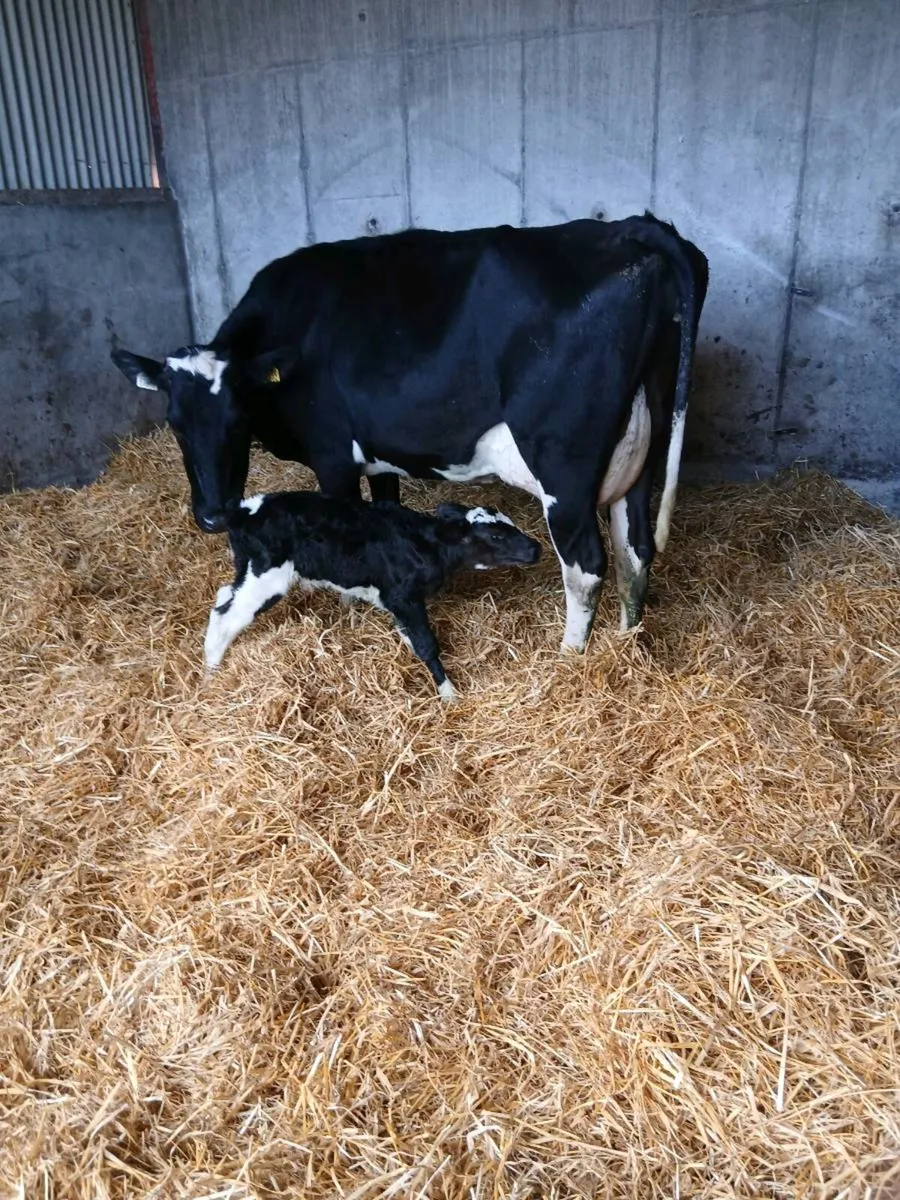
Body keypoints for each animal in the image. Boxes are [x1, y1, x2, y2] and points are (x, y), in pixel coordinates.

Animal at [112, 212, 708, 652]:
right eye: (174, 422)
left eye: (238, 417)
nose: (213, 515)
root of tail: (630, 226)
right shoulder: (380, 459)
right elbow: (383, 514)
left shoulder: (332, 455)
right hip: (642, 451)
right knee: (635, 552)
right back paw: (627, 643)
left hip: (563, 466)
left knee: (585, 567)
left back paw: (570, 657)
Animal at [203, 495, 541, 699]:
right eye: (495, 536)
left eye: (511, 523)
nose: (536, 547)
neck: (428, 546)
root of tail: (243, 511)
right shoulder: (404, 597)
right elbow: (427, 645)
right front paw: (449, 694)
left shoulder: (397, 603)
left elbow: (409, 635)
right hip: (266, 579)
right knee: (226, 615)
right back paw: (212, 668)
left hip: (248, 571)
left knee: (223, 595)